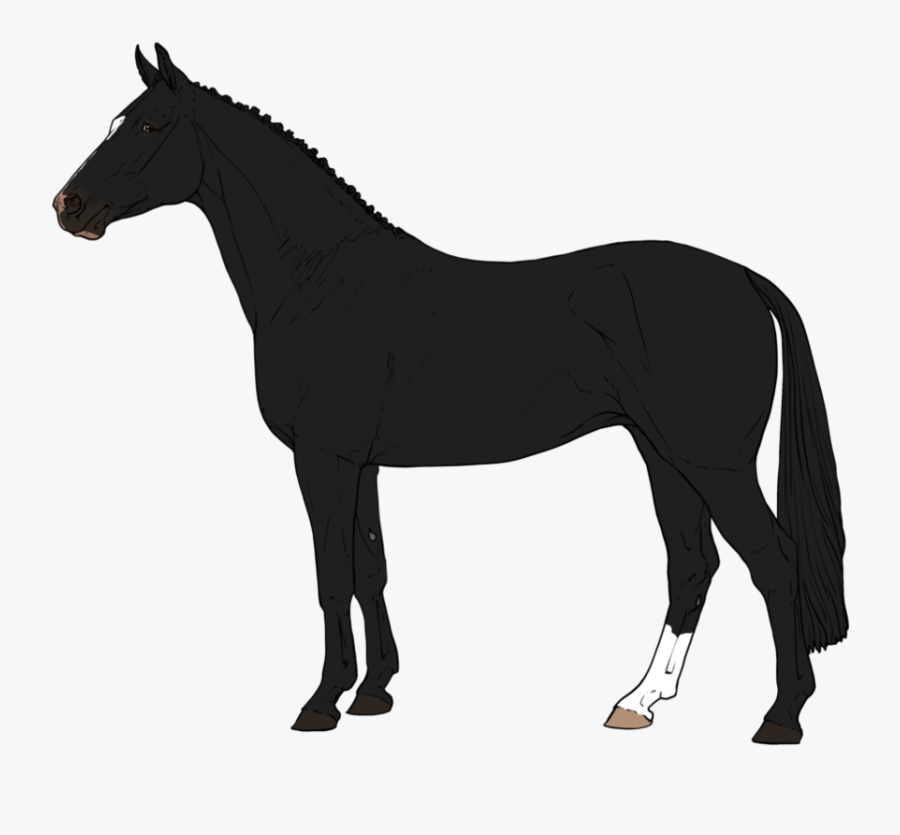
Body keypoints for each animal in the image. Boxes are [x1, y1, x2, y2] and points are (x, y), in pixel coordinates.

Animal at [53, 44, 847, 744]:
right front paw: (374, 692)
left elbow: (332, 574)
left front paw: (321, 702)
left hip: (711, 461)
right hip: (664, 456)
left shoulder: (323, 457)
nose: (68, 205)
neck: (319, 280)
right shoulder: (361, 462)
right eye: (118, 120)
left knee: (773, 562)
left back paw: (781, 716)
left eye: (148, 126)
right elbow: (370, 568)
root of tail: (743, 278)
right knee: (693, 565)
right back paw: (637, 702)